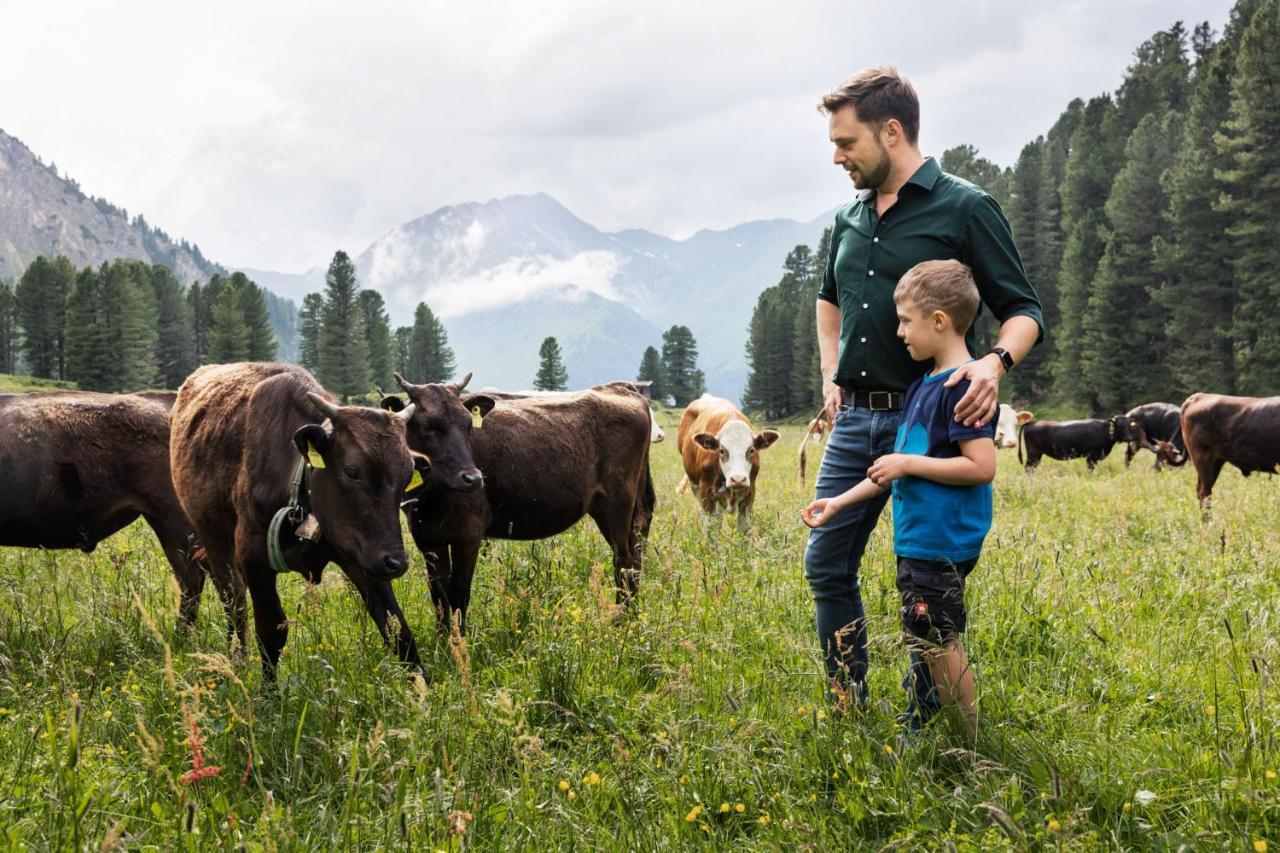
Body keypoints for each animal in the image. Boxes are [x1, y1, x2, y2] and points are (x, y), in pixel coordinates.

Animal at [167, 361, 430, 676]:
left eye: (407, 475)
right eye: (352, 471)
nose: (396, 562)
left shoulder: (362, 555)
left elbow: (397, 629)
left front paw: (422, 689)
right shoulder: (253, 555)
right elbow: (271, 631)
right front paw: (267, 690)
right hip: (214, 539)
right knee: (234, 601)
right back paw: (237, 658)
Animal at [381, 376, 655, 627]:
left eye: (469, 425)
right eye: (428, 425)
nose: (473, 479)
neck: (431, 500)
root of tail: (619, 387)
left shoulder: (469, 536)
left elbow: (458, 594)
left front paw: (459, 644)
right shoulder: (428, 539)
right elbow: (439, 598)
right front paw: (443, 642)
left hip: (618, 503)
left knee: (624, 561)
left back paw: (620, 622)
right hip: (606, 510)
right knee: (635, 555)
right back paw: (631, 615)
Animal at [680, 394, 778, 532]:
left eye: (751, 450)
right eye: (721, 450)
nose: (738, 479)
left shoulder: (750, 492)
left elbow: (743, 527)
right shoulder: (706, 493)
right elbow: (710, 528)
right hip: (695, 486)